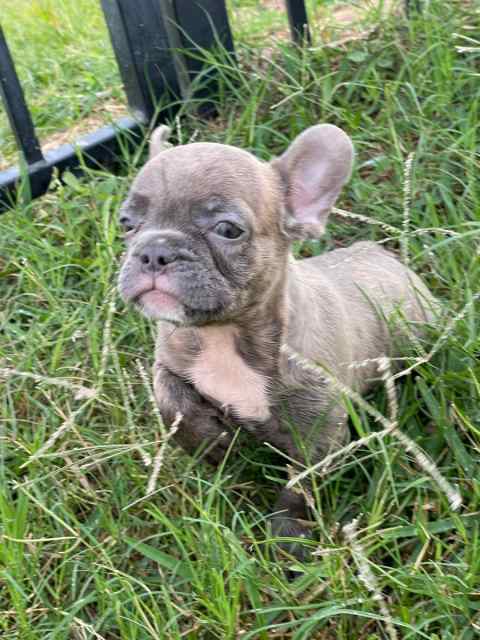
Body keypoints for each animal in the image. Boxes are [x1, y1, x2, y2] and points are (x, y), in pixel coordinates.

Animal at [117, 124, 436, 556]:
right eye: (126, 223)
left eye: (228, 230)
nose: (153, 251)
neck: (224, 334)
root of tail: (383, 255)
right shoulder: (171, 355)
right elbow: (168, 396)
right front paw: (208, 442)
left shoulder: (320, 434)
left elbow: (299, 487)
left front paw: (288, 535)